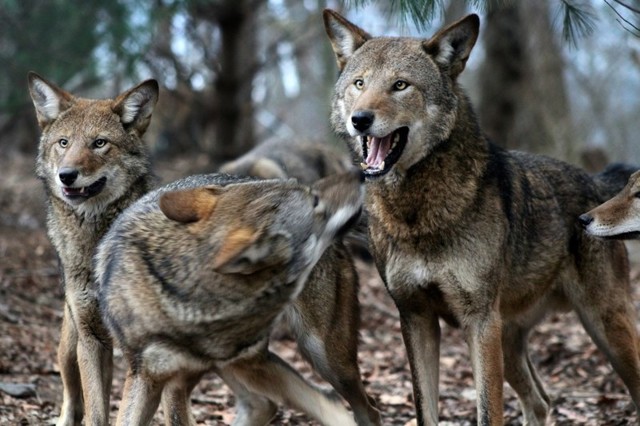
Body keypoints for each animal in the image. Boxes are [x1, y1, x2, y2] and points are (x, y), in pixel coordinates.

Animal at [28, 71, 160, 424]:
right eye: (64, 143)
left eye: (99, 143)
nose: (67, 175)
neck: (93, 242)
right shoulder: (91, 339)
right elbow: (95, 411)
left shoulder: (140, 349)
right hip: (68, 348)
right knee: (72, 396)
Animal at [95, 171, 364, 426]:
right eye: (314, 201)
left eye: (306, 190)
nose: (359, 173)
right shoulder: (146, 376)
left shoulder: (248, 361)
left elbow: (329, 406)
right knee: (262, 404)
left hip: (324, 361)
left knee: (360, 405)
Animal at [322, 10, 640, 426]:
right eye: (359, 84)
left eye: (400, 85)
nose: (360, 119)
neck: (416, 212)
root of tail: (598, 184)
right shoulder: (416, 317)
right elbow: (425, 409)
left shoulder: (479, 321)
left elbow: (488, 411)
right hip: (511, 338)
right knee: (540, 401)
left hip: (605, 326)